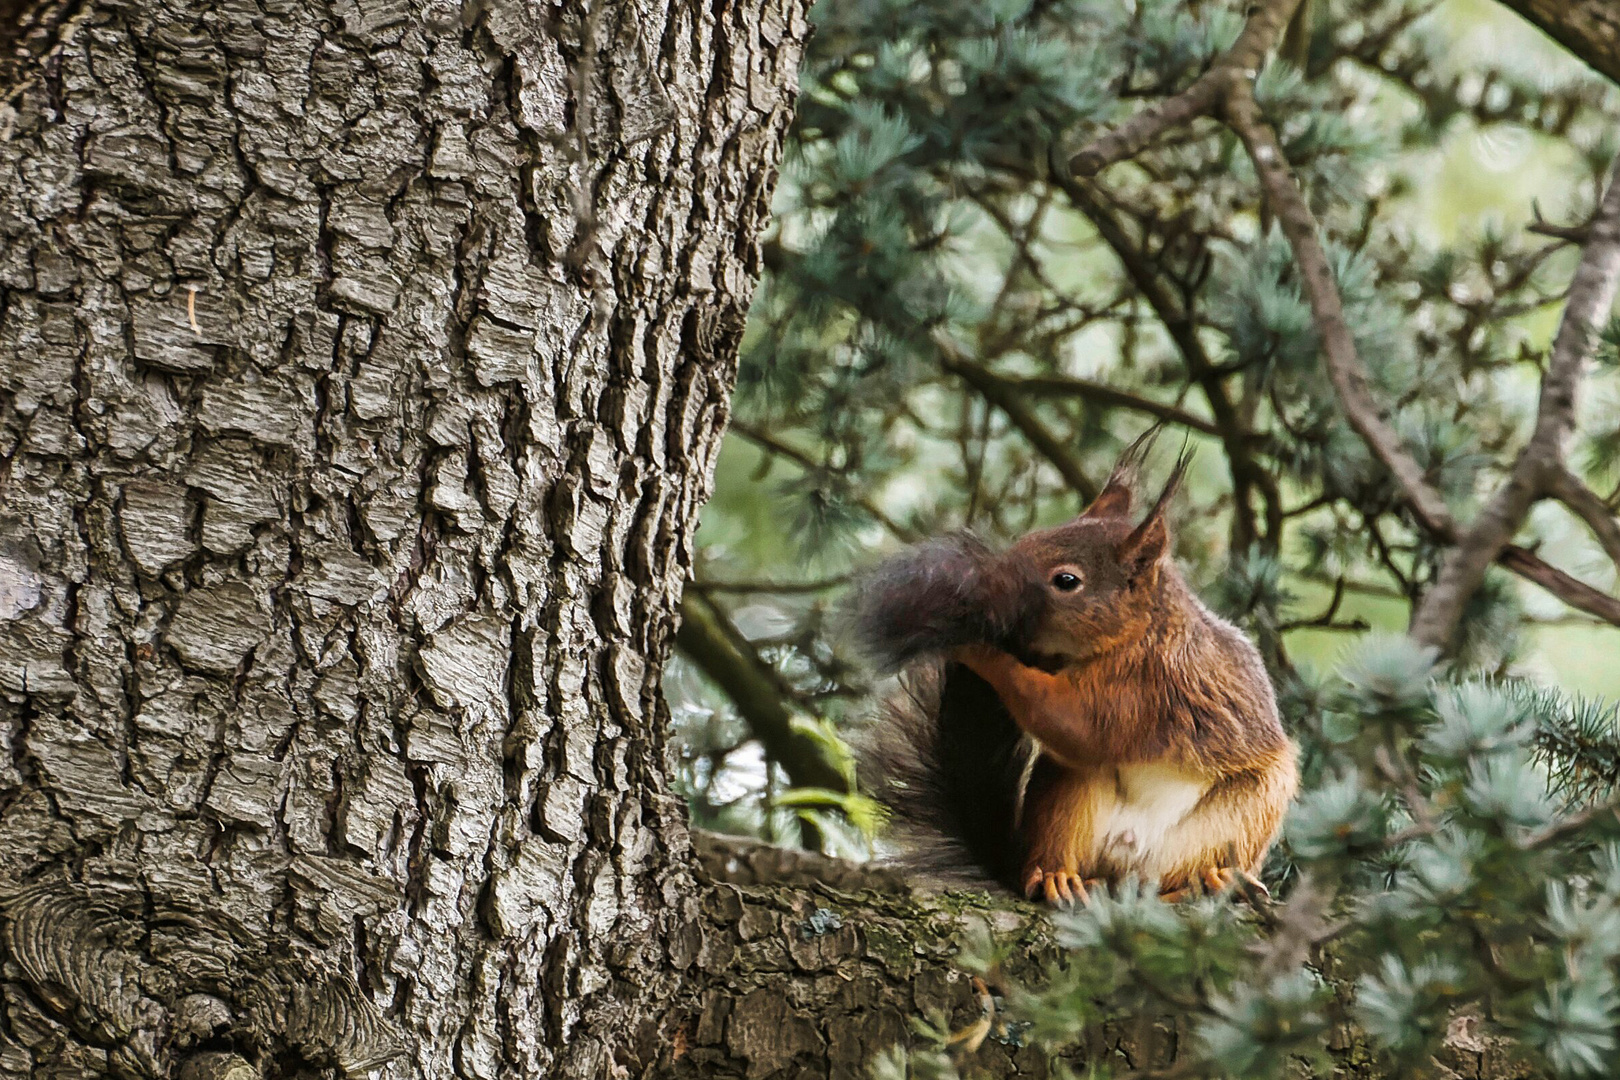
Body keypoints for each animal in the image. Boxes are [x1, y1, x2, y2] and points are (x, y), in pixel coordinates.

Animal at [855, 440, 1296, 906]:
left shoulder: (1148, 689)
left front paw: (978, 647)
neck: (1136, 633)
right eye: (1028, 539)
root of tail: (1129, 865)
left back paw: (1211, 881)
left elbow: (1077, 724)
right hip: (1067, 799)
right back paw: (1056, 878)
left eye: (1066, 580)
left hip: (1244, 810)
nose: (989, 591)